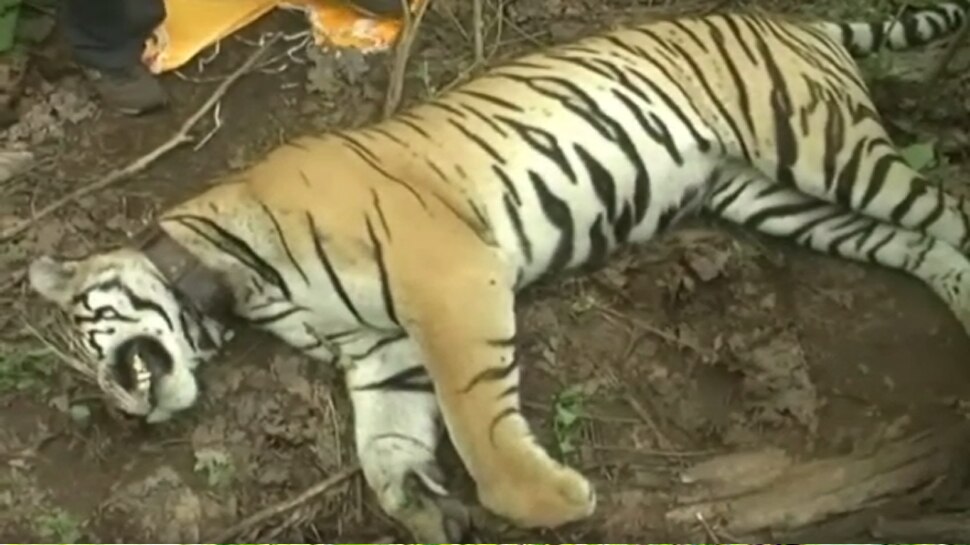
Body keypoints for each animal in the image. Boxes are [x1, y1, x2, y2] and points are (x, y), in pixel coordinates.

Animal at [27, 1, 970, 541]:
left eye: (88, 332)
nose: (118, 406)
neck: (234, 286)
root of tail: (797, 21)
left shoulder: (446, 277)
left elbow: (475, 415)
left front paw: (549, 500)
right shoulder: (379, 350)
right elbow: (387, 449)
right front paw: (424, 508)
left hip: (820, 146)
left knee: (947, 211)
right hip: (773, 198)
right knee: (923, 245)